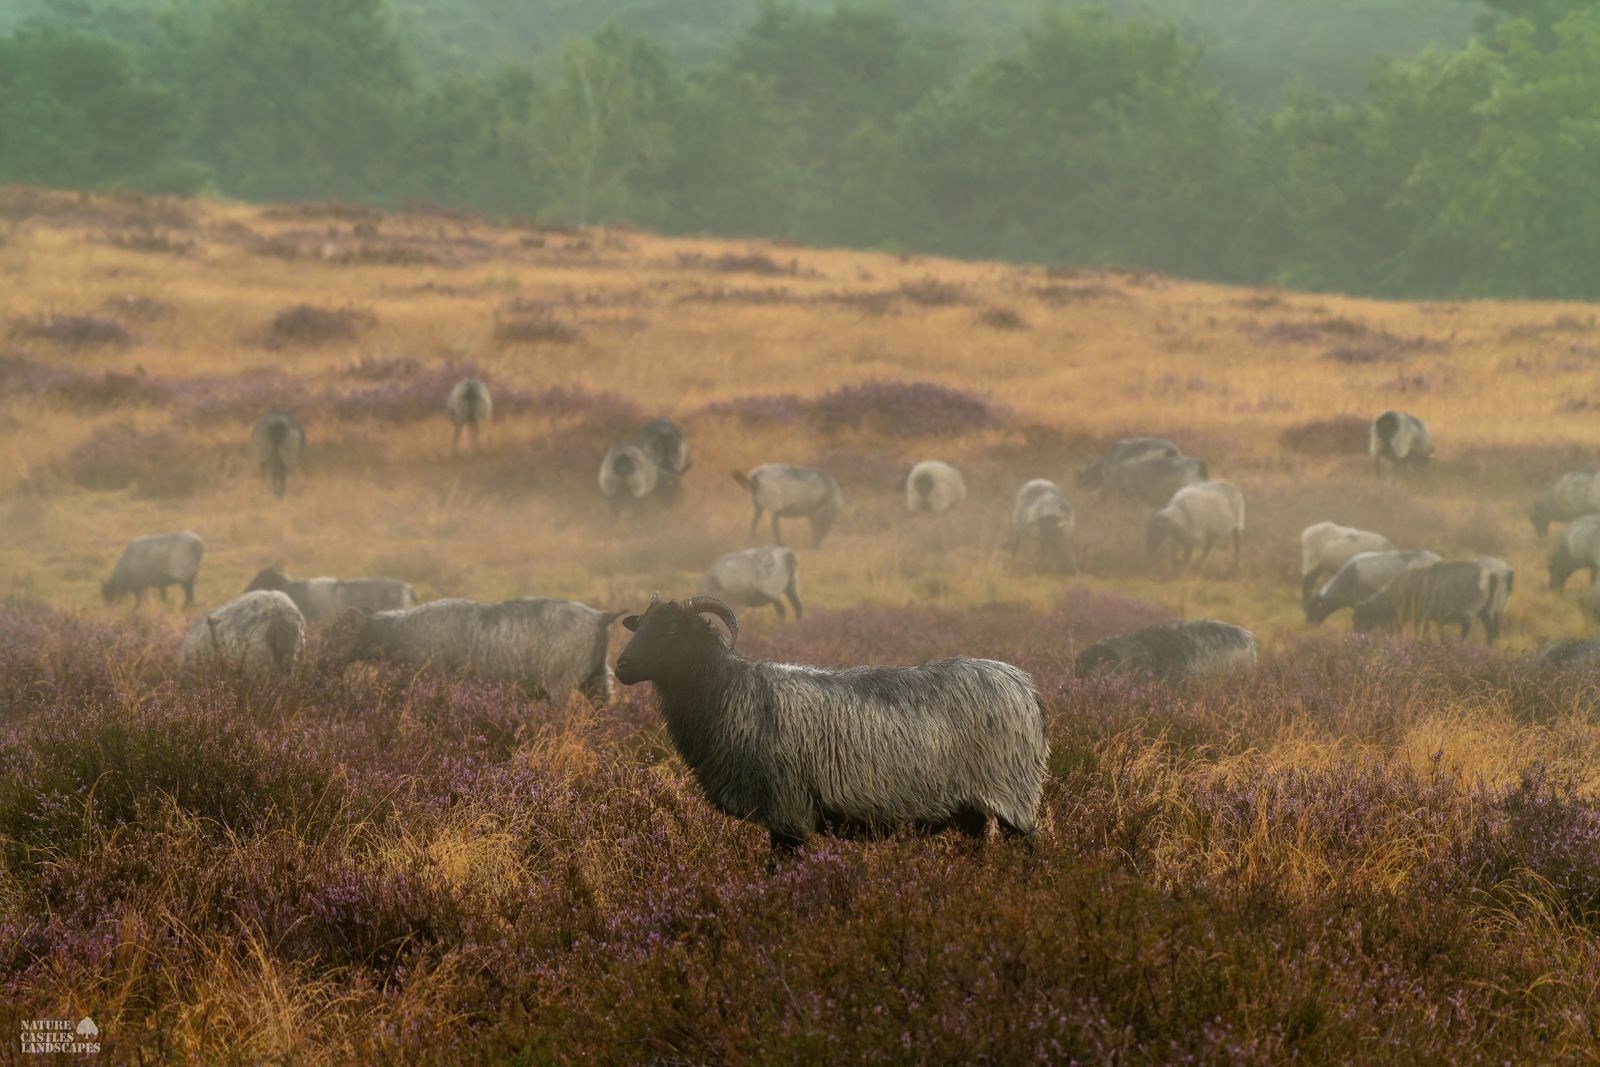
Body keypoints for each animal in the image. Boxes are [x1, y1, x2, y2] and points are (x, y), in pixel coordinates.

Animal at [614, 594, 1048, 852]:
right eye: (640, 626)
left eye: (671, 629)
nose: (621, 667)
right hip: (972, 807)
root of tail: (1025, 686)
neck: (729, 692)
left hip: (1013, 795)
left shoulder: (788, 813)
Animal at [1351, 557, 1514, 644]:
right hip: (1487, 611)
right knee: (1491, 631)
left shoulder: (1420, 616)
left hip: (1469, 611)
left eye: (1361, 616)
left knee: (1468, 629)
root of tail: (1491, 575)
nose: (1356, 633)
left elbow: (1421, 630)